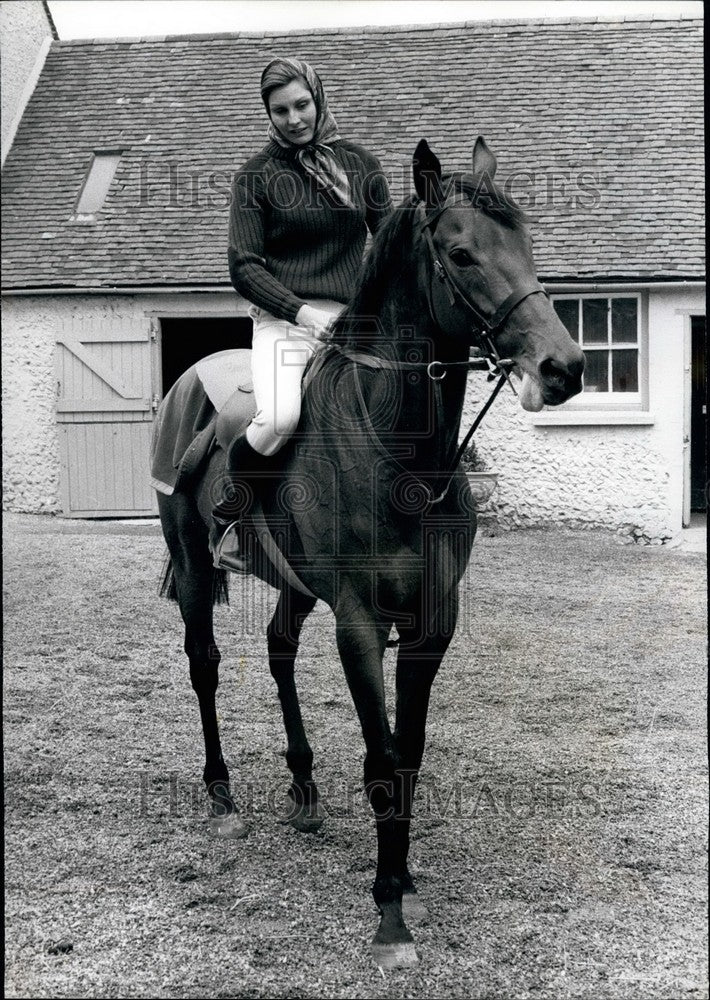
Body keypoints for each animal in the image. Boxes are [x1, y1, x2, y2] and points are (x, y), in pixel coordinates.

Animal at [156, 139, 584, 968]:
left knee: (278, 651)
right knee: (205, 666)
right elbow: (382, 758)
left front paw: (405, 877)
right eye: (461, 253)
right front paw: (388, 915)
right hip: (193, 571)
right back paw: (222, 797)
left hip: (292, 588)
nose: (564, 367)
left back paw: (303, 792)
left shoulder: (432, 622)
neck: (401, 458)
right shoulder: (357, 621)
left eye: (526, 244)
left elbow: (407, 751)